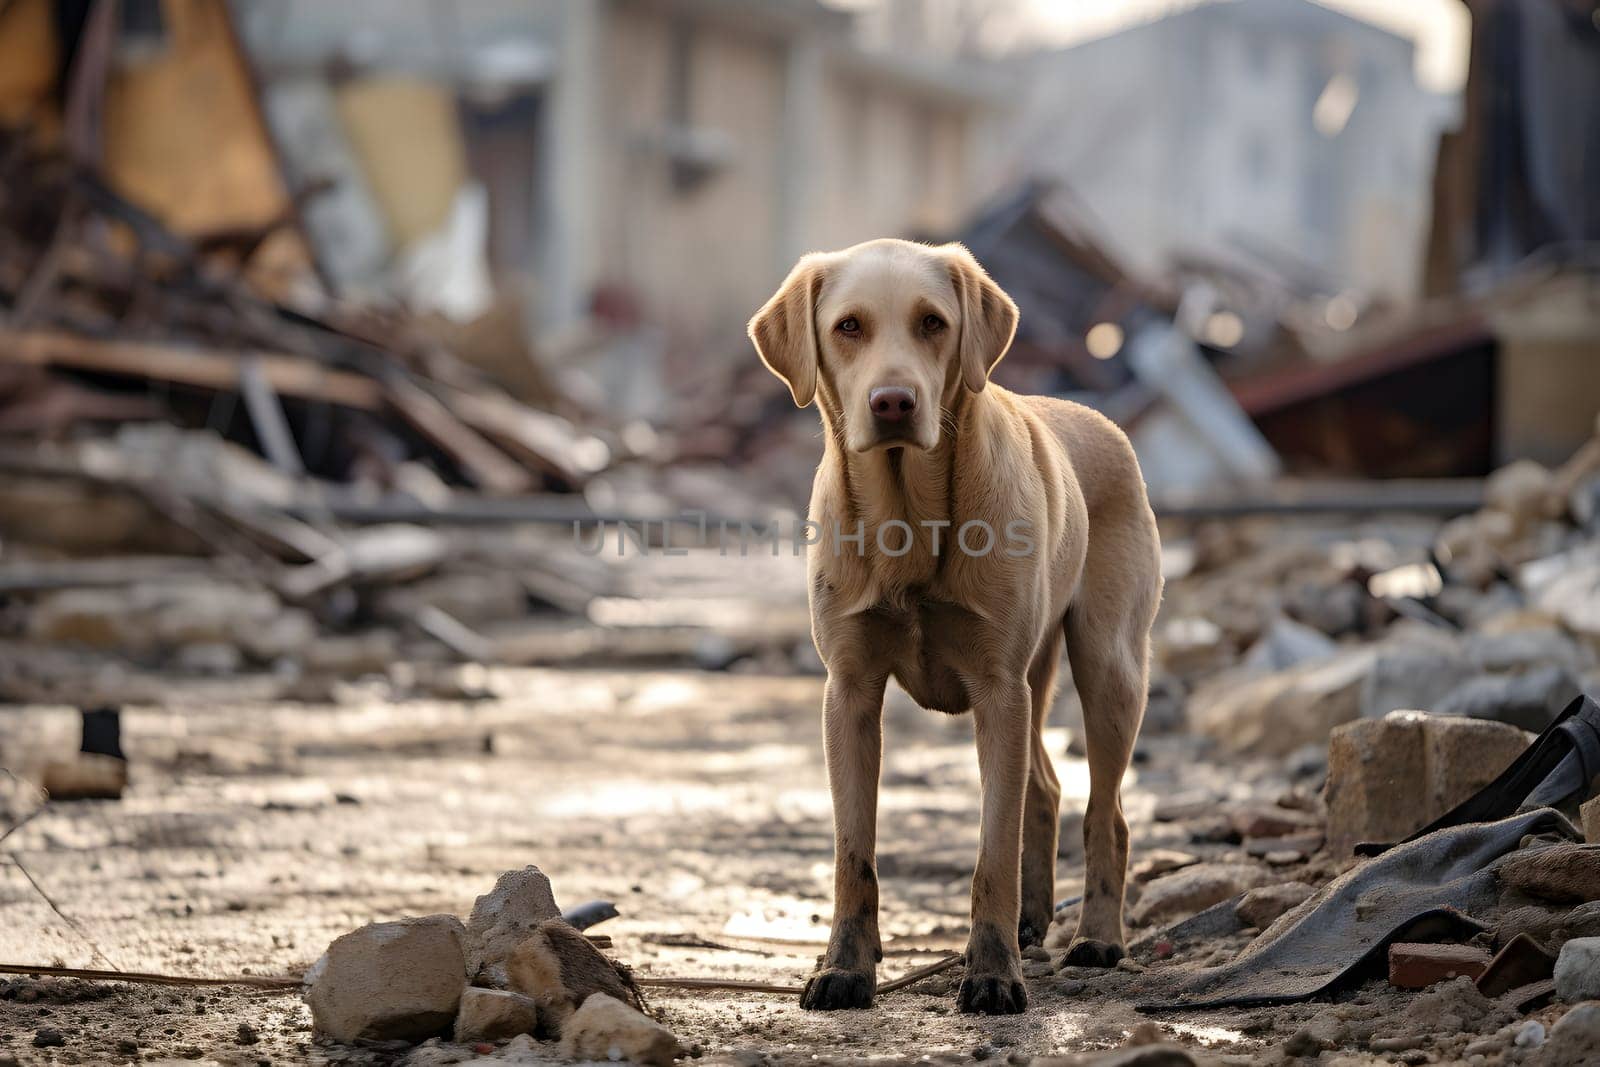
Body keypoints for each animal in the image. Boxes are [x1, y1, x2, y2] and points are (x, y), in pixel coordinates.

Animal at [748, 239, 1164, 1017]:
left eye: (933, 323)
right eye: (849, 326)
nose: (893, 401)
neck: (909, 519)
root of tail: (1102, 422)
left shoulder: (998, 689)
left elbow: (991, 852)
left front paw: (993, 973)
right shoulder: (849, 691)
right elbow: (853, 853)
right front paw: (845, 968)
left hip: (1109, 665)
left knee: (1107, 812)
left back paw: (1096, 936)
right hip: (1040, 677)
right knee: (1047, 786)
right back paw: (1035, 920)